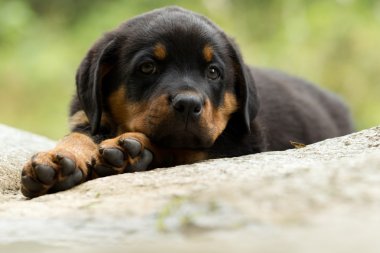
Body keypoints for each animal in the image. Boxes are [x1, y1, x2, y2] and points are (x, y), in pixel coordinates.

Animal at [20, 6, 354, 198]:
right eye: (148, 67)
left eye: (213, 71)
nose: (188, 104)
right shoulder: (88, 116)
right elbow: (78, 136)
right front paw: (58, 160)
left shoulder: (238, 142)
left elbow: (178, 146)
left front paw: (131, 151)